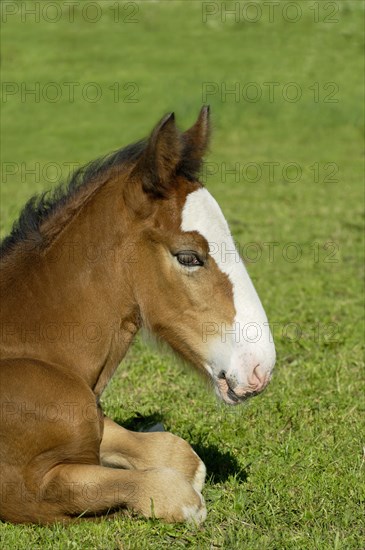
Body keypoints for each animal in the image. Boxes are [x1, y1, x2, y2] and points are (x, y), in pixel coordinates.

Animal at [0, 108, 272, 528]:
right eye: (188, 256)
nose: (260, 367)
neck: (32, 353)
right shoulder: (27, 489)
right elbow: (176, 493)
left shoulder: (95, 423)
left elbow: (181, 455)